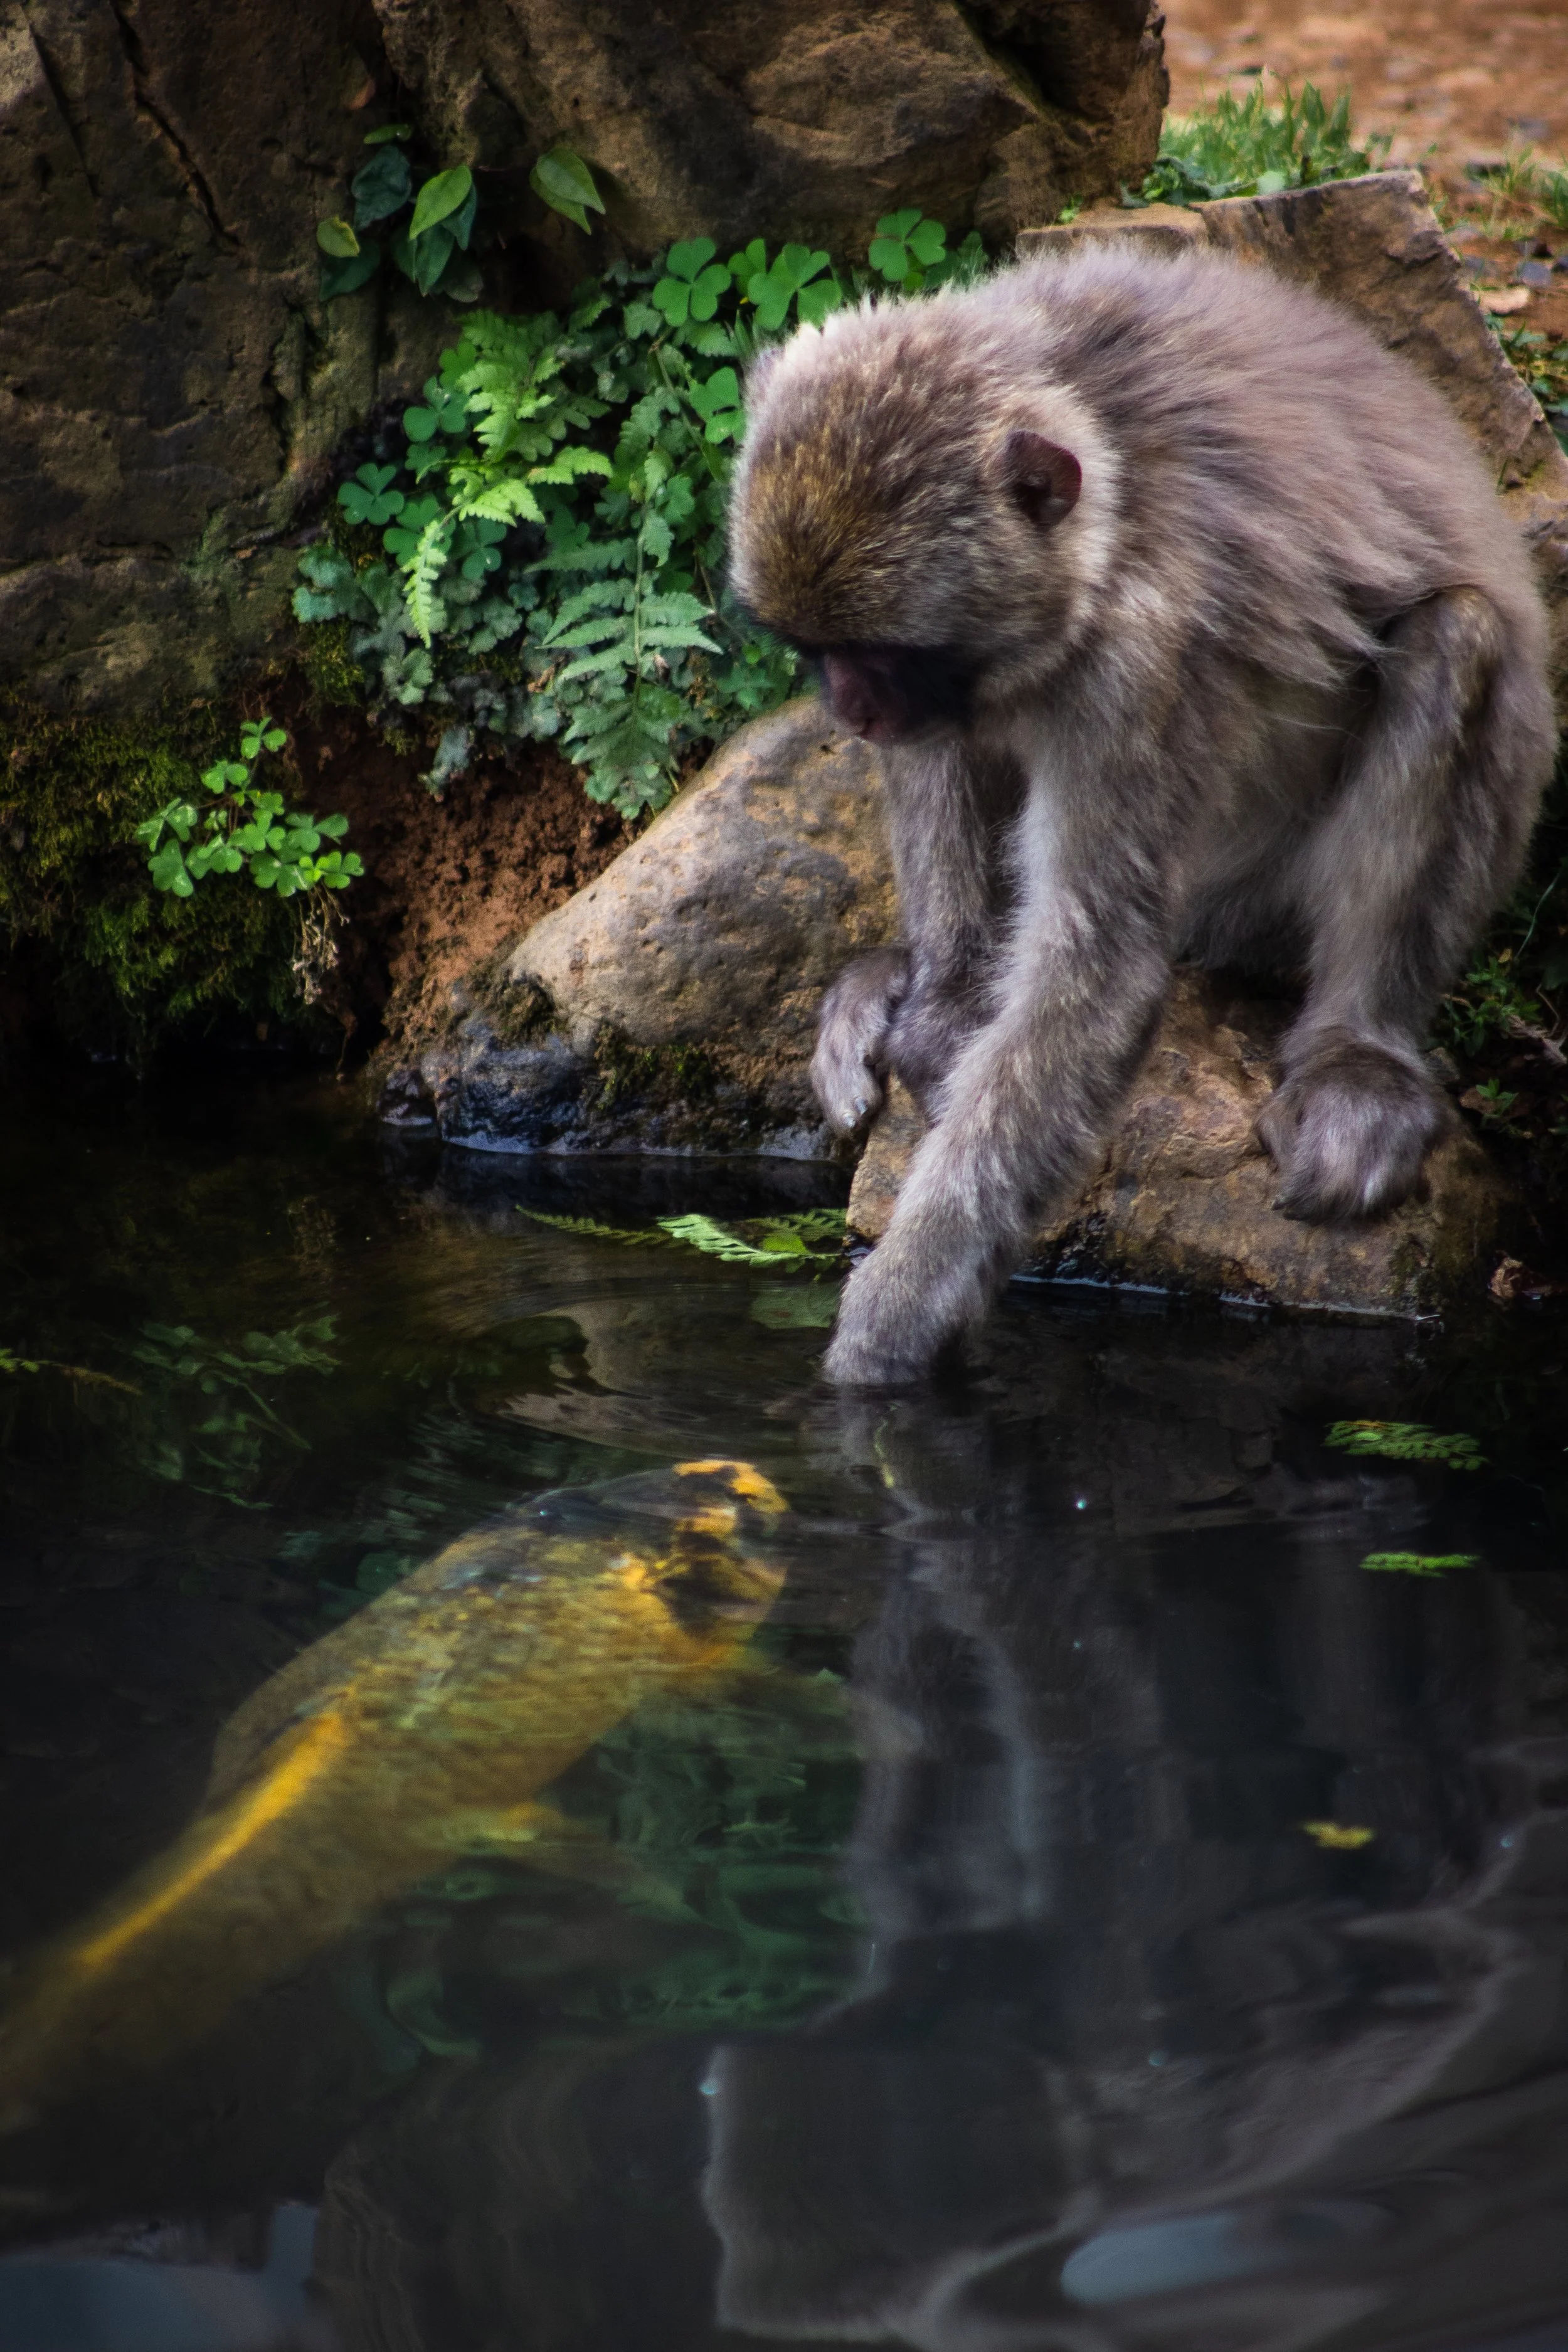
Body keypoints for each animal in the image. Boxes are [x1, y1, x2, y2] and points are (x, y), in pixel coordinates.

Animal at [727, 236, 1557, 1387]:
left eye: (886, 650)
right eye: (818, 649)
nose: (852, 708)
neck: (1107, 512)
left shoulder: (1144, 657)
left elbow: (1095, 969)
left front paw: (886, 1333)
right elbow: (948, 750)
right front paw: (943, 1006)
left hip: (1253, 894)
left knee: (1457, 637)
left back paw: (1360, 1050)